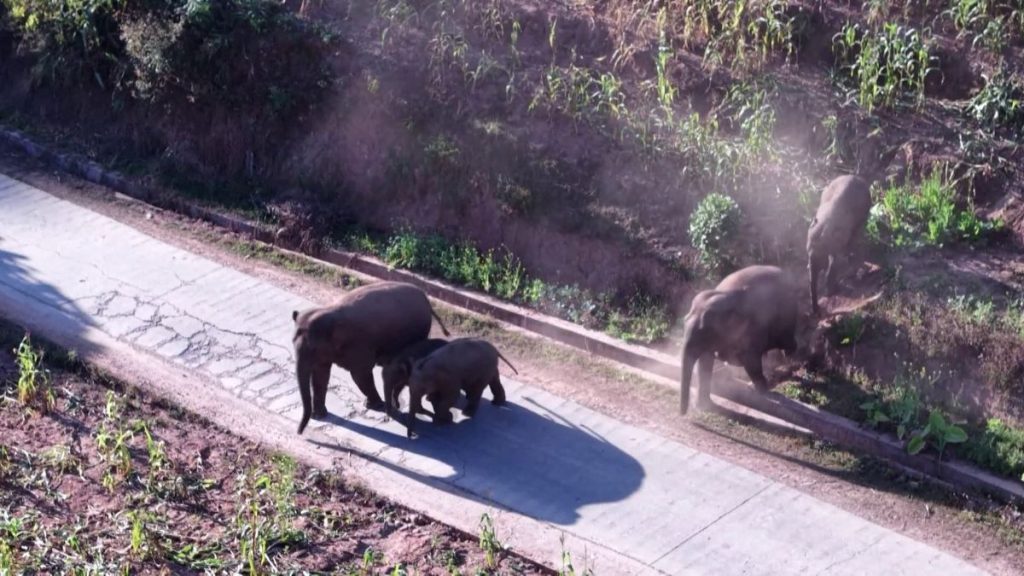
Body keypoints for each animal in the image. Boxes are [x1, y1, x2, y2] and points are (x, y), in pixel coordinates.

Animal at [291, 281, 450, 434]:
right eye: (292, 342)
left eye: (312, 349)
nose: (299, 432)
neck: (329, 311)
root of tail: (428, 302)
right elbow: (321, 375)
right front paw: (319, 415)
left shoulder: (359, 345)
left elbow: (360, 374)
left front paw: (376, 405)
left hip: (420, 332)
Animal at [679, 265, 798, 414]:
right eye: (684, 321)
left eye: (703, 331)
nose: (683, 413)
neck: (724, 295)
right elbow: (705, 362)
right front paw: (704, 407)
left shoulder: (754, 327)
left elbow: (751, 361)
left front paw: (762, 391)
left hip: (789, 314)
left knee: (787, 343)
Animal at [807, 175, 872, 315]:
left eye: (822, 257)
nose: (817, 312)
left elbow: (835, 258)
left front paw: (831, 290)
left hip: (865, 209)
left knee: (858, 233)